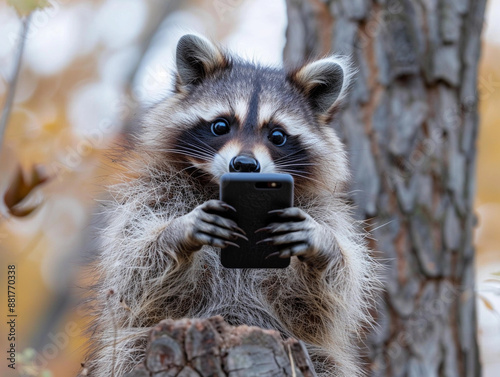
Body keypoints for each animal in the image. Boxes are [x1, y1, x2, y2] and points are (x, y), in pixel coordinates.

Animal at [84, 35, 376, 376]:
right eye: (221, 126)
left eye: (277, 135)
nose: (245, 165)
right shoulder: (152, 193)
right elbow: (136, 280)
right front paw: (177, 233)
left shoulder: (320, 211)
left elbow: (319, 306)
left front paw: (321, 247)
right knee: (132, 350)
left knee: (327, 362)